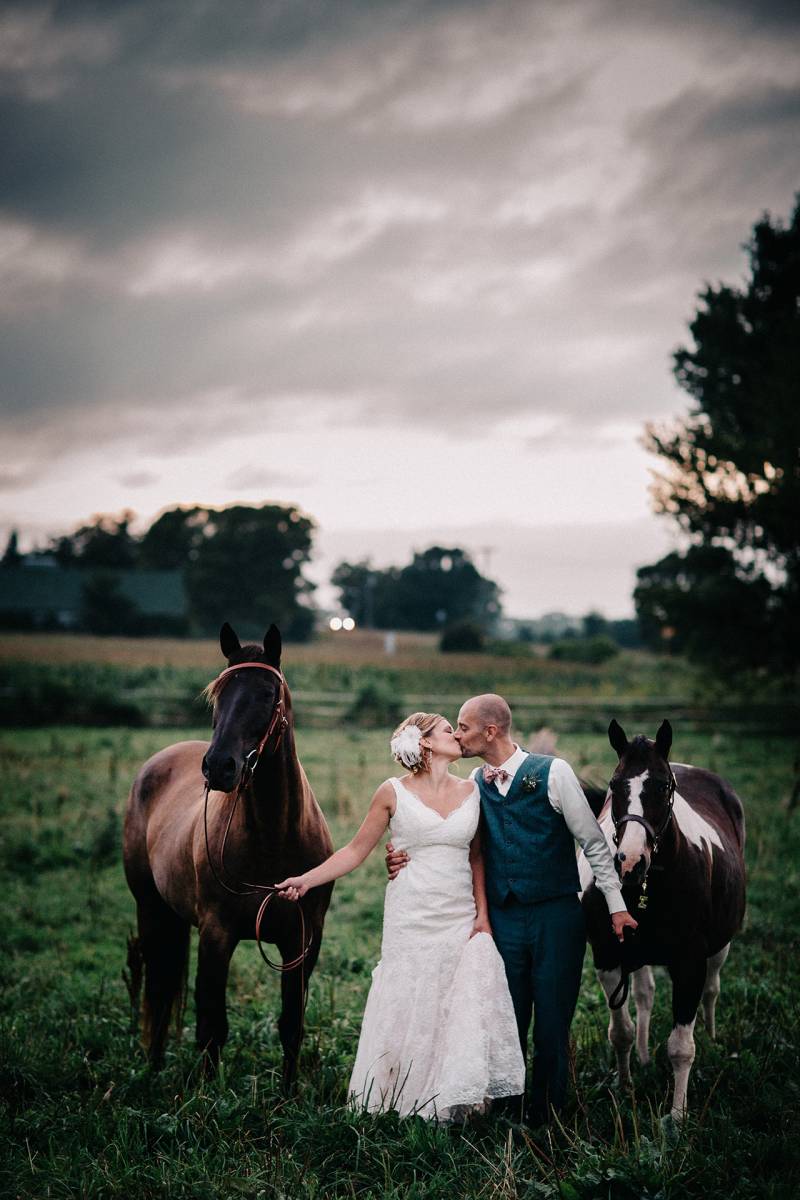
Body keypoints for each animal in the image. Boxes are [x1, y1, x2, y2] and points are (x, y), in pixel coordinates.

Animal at [121, 619, 331, 1089]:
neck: (273, 840)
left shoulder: (303, 940)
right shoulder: (217, 935)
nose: (219, 766)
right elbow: (211, 1026)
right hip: (150, 907)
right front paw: (205, 1095)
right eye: (219, 693)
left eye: (268, 694)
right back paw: (152, 1067)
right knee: (158, 987)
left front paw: (288, 1095)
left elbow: (292, 1025)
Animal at [578, 715, 748, 1118]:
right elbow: (620, 1032)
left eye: (664, 785)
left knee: (713, 987)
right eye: (615, 785)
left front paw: (678, 1115)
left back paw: (713, 1037)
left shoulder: (689, 963)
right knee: (644, 994)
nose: (630, 861)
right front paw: (624, 1087)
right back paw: (641, 1057)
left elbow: (681, 1047)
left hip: (720, 946)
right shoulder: (608, 956)